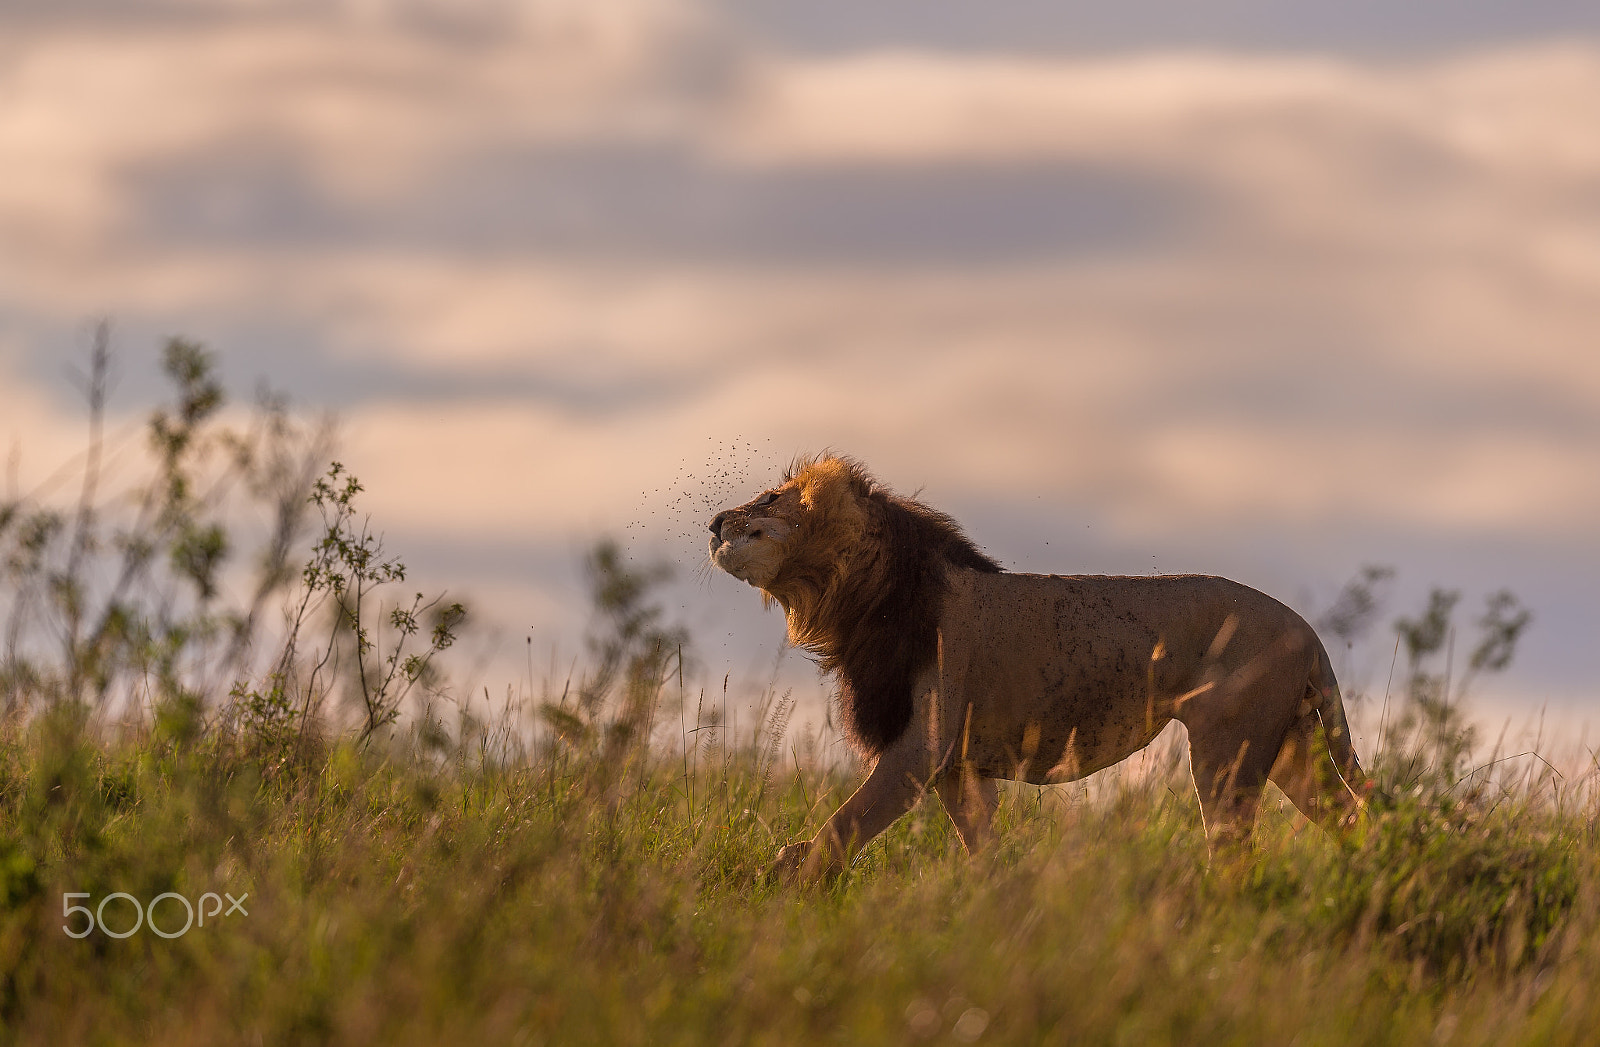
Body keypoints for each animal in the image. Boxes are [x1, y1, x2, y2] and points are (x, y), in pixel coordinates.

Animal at [713, 454, 1376, 883]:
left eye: (770, 498)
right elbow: (981, 847)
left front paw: (783, 881)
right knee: (1347, 816)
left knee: (1235, 850)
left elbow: (841, 827)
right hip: (1289, 742)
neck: (852, 592)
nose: (714, 522)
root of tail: (1306, 629)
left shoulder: (919, 750)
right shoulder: (957, 767)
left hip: (1227, 748)